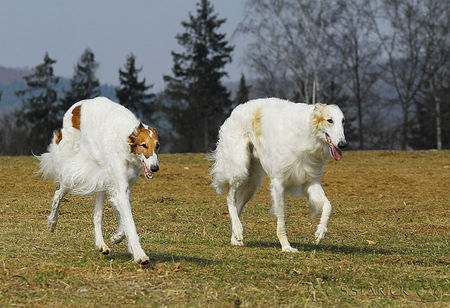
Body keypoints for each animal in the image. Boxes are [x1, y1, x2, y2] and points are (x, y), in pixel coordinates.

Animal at [37, 97, 160, 264]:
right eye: (144, 145)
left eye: (157, 146)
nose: (155, 167)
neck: (125, 140)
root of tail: (77, 106)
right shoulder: (120, 187)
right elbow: (130, 222)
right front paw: (140, 255)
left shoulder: (124, 188)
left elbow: (123, 219)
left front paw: (117, 237)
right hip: (75, 170)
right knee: (58, 194)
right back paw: (52, 222)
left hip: (101, 180)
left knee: (97, 215)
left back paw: (101, 245)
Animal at [209, 98, 346, 253]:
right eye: (330, 120)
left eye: (343, 121)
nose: (343, 144)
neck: (307, 132)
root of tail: (236, 110)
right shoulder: (278, 183)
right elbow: (281, 217)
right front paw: (286, 246)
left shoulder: (310, 182)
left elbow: (328, 206)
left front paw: (320, 232)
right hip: (240, 168)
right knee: (230, 198)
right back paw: (238, 229)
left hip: (252, 182)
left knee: (238, 205)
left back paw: (236, 237)